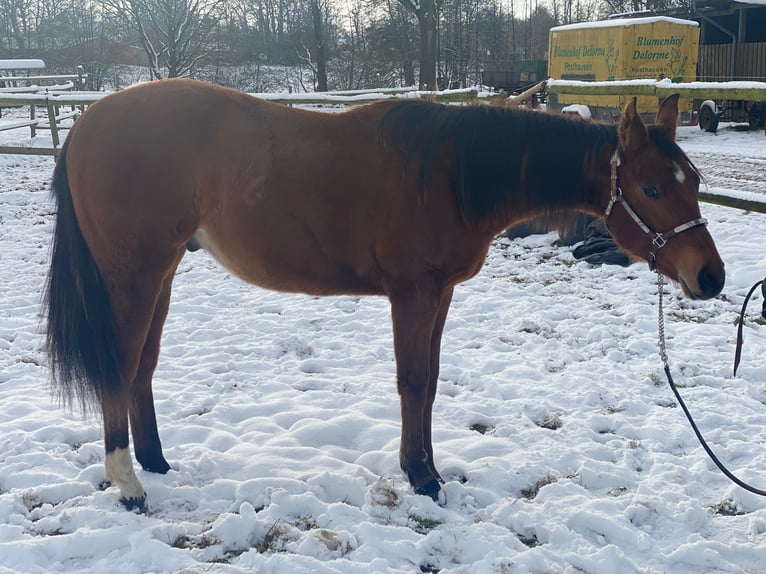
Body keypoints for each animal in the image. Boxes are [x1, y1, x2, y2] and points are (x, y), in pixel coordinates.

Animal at [44, 79, 725, 510]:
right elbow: (413, 381)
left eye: (693, 180)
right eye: (652, 188)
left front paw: (425, 468)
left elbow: (430, 379)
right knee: (119, 365)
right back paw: (129, 485)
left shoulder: (439, 293)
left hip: (161, 272)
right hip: (133, 273)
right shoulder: (412, 293)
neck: (450, 174)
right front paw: (421, 477)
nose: (711, 277)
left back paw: (154, 462)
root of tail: (87, 123)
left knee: (142, 366)